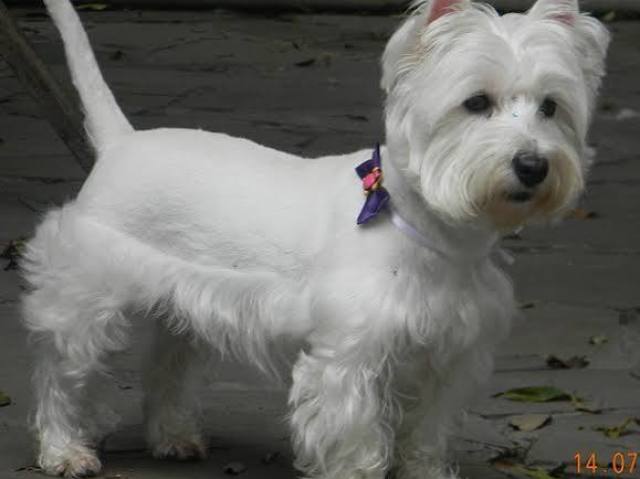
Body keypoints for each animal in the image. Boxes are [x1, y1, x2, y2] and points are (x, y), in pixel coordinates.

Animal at [22, 0, 608, 478]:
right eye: (476, 103)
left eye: (551, 107)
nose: (533, 166)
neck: (429, 226)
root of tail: (120, 142)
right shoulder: (349, 355)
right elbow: (354, 435)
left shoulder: (449, 355)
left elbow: (427, 431)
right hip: (85, 295)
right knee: (64, 373)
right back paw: (65, 452)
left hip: (181, 303)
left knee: (168, 365)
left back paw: (175, 438)